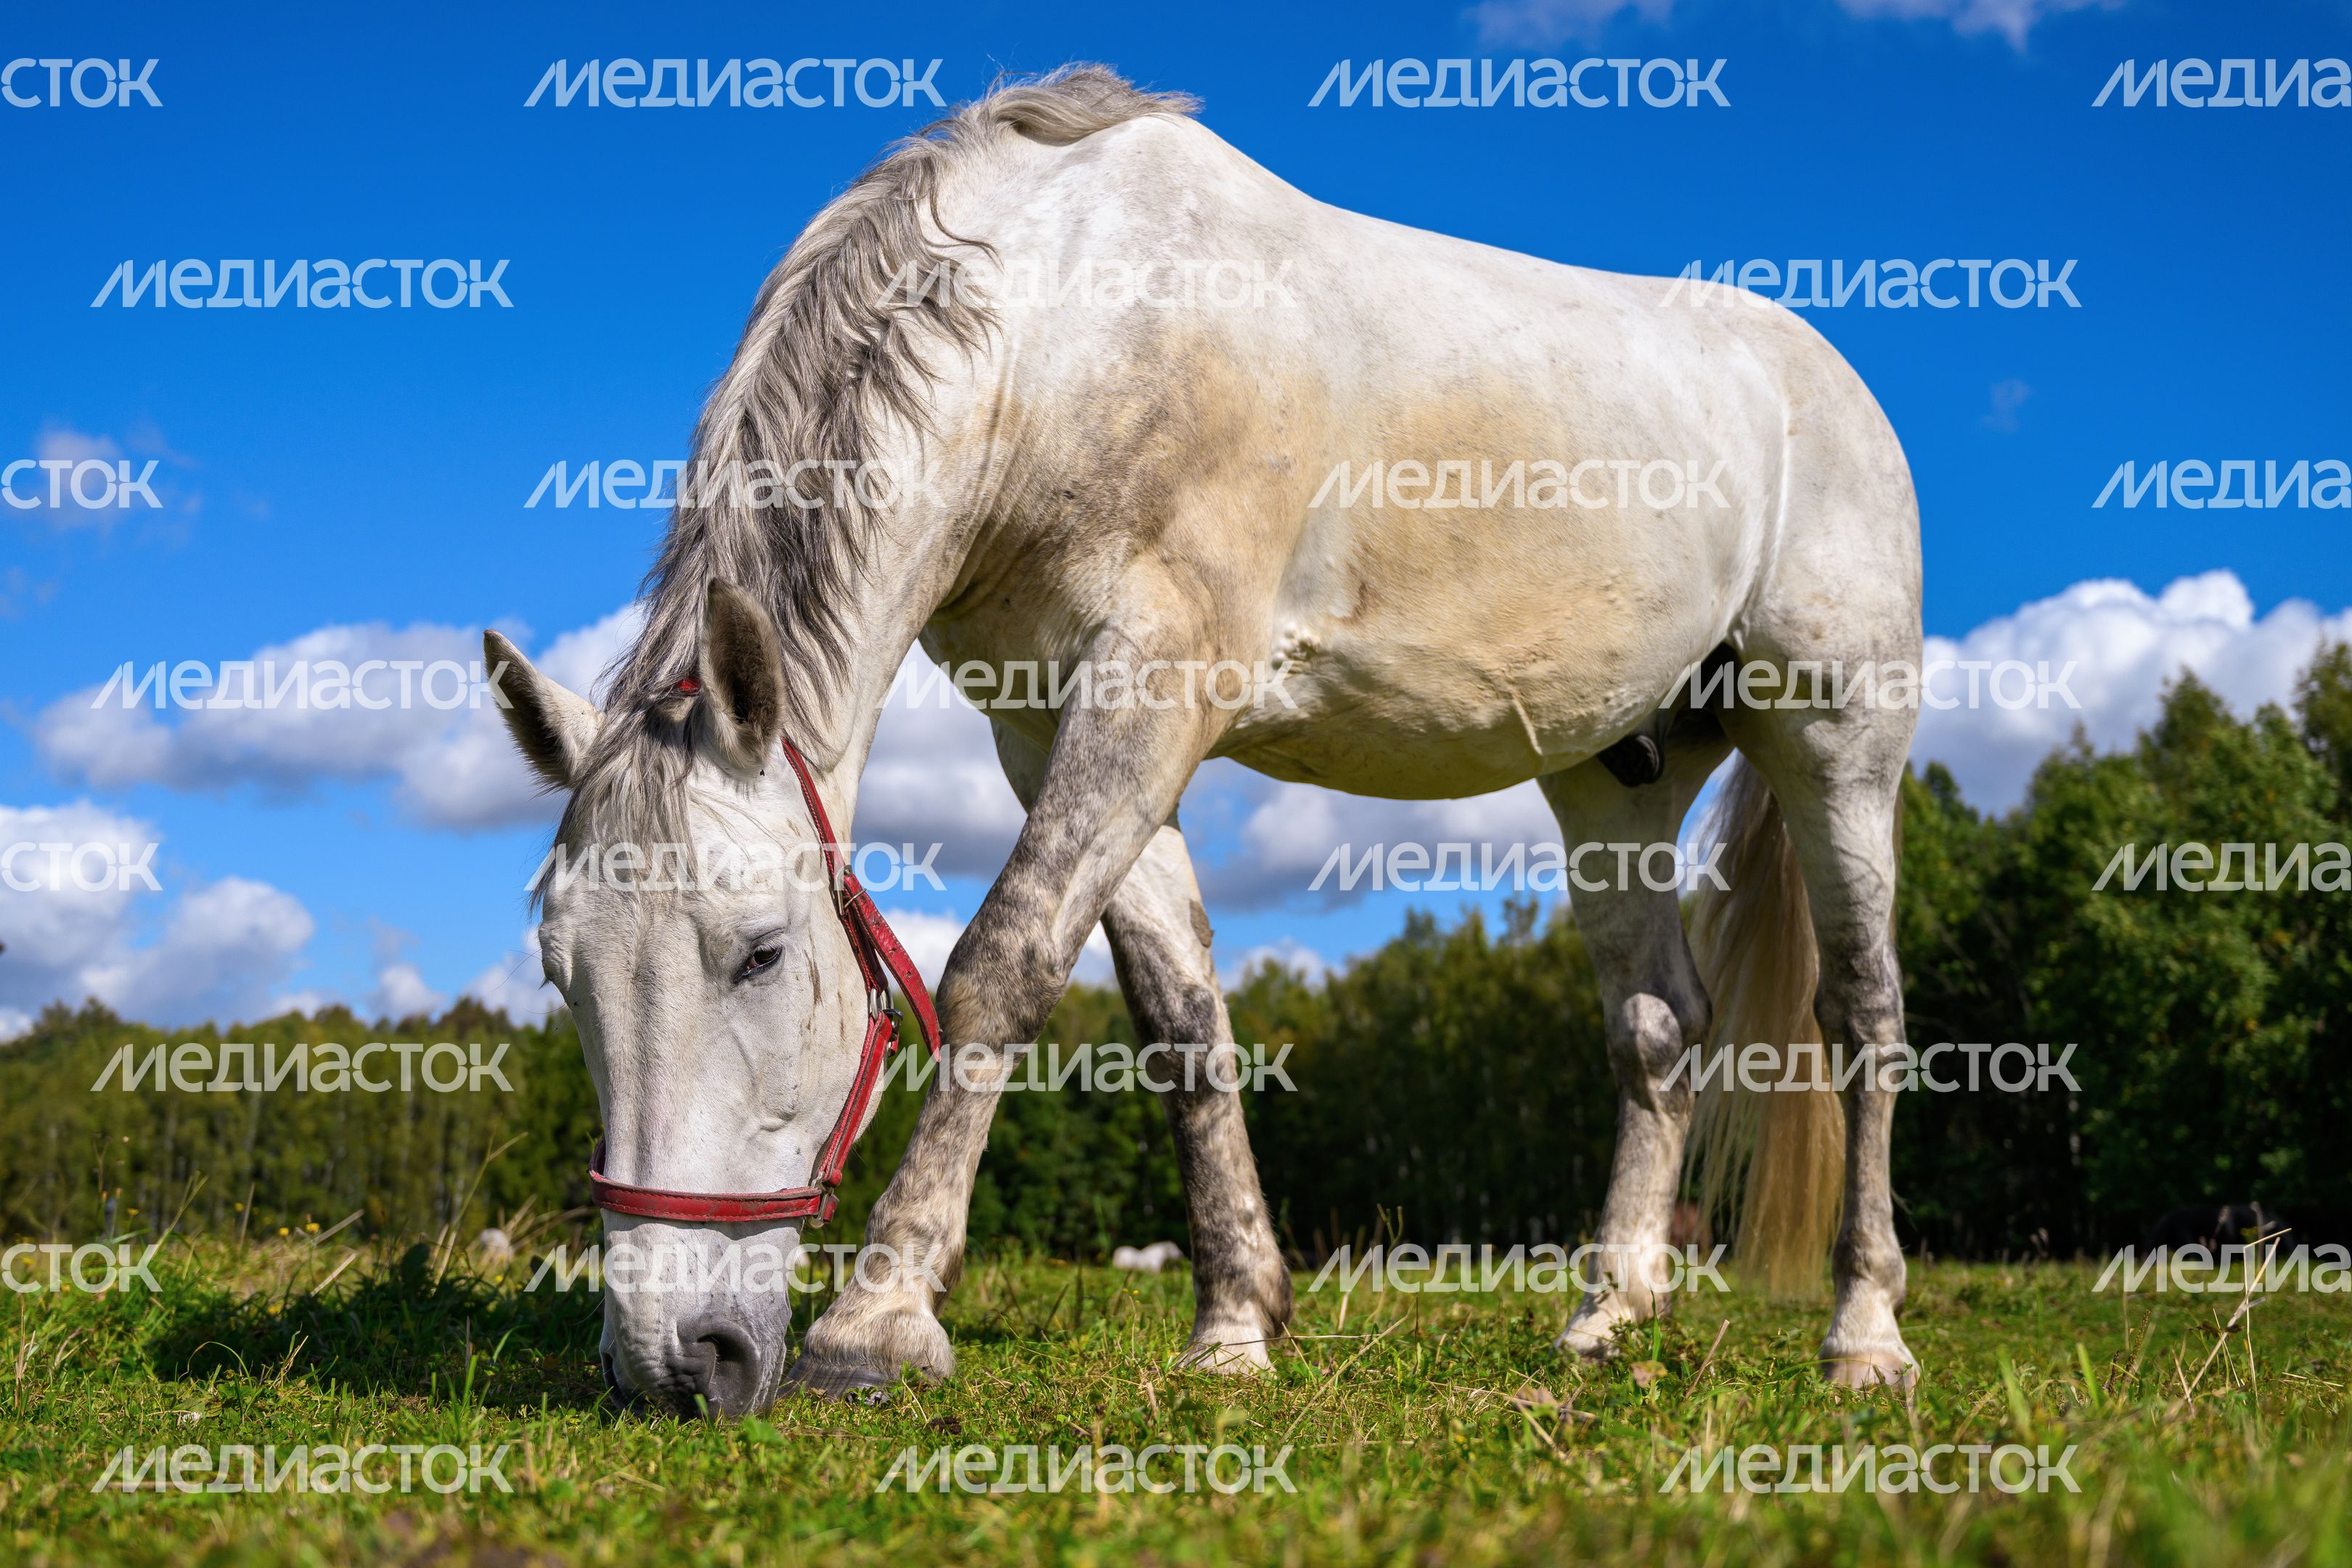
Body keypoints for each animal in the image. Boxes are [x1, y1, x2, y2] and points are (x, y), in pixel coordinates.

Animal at [488, 65, 1924, 1415]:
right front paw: (1236, 1325)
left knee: (1862, 1014)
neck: (1063, 334)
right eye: (562, 975)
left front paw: (878, 1320)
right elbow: (1181, 1020)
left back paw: (1864, 1337)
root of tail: (1823, 378)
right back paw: (1607, 1317)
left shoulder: (1157, 685)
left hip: (1837, 743)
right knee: (1657, 1028)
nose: (680, 1363)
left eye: (763, 954)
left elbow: (1003, 965)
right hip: (1612, 782)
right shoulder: (1051, 725)